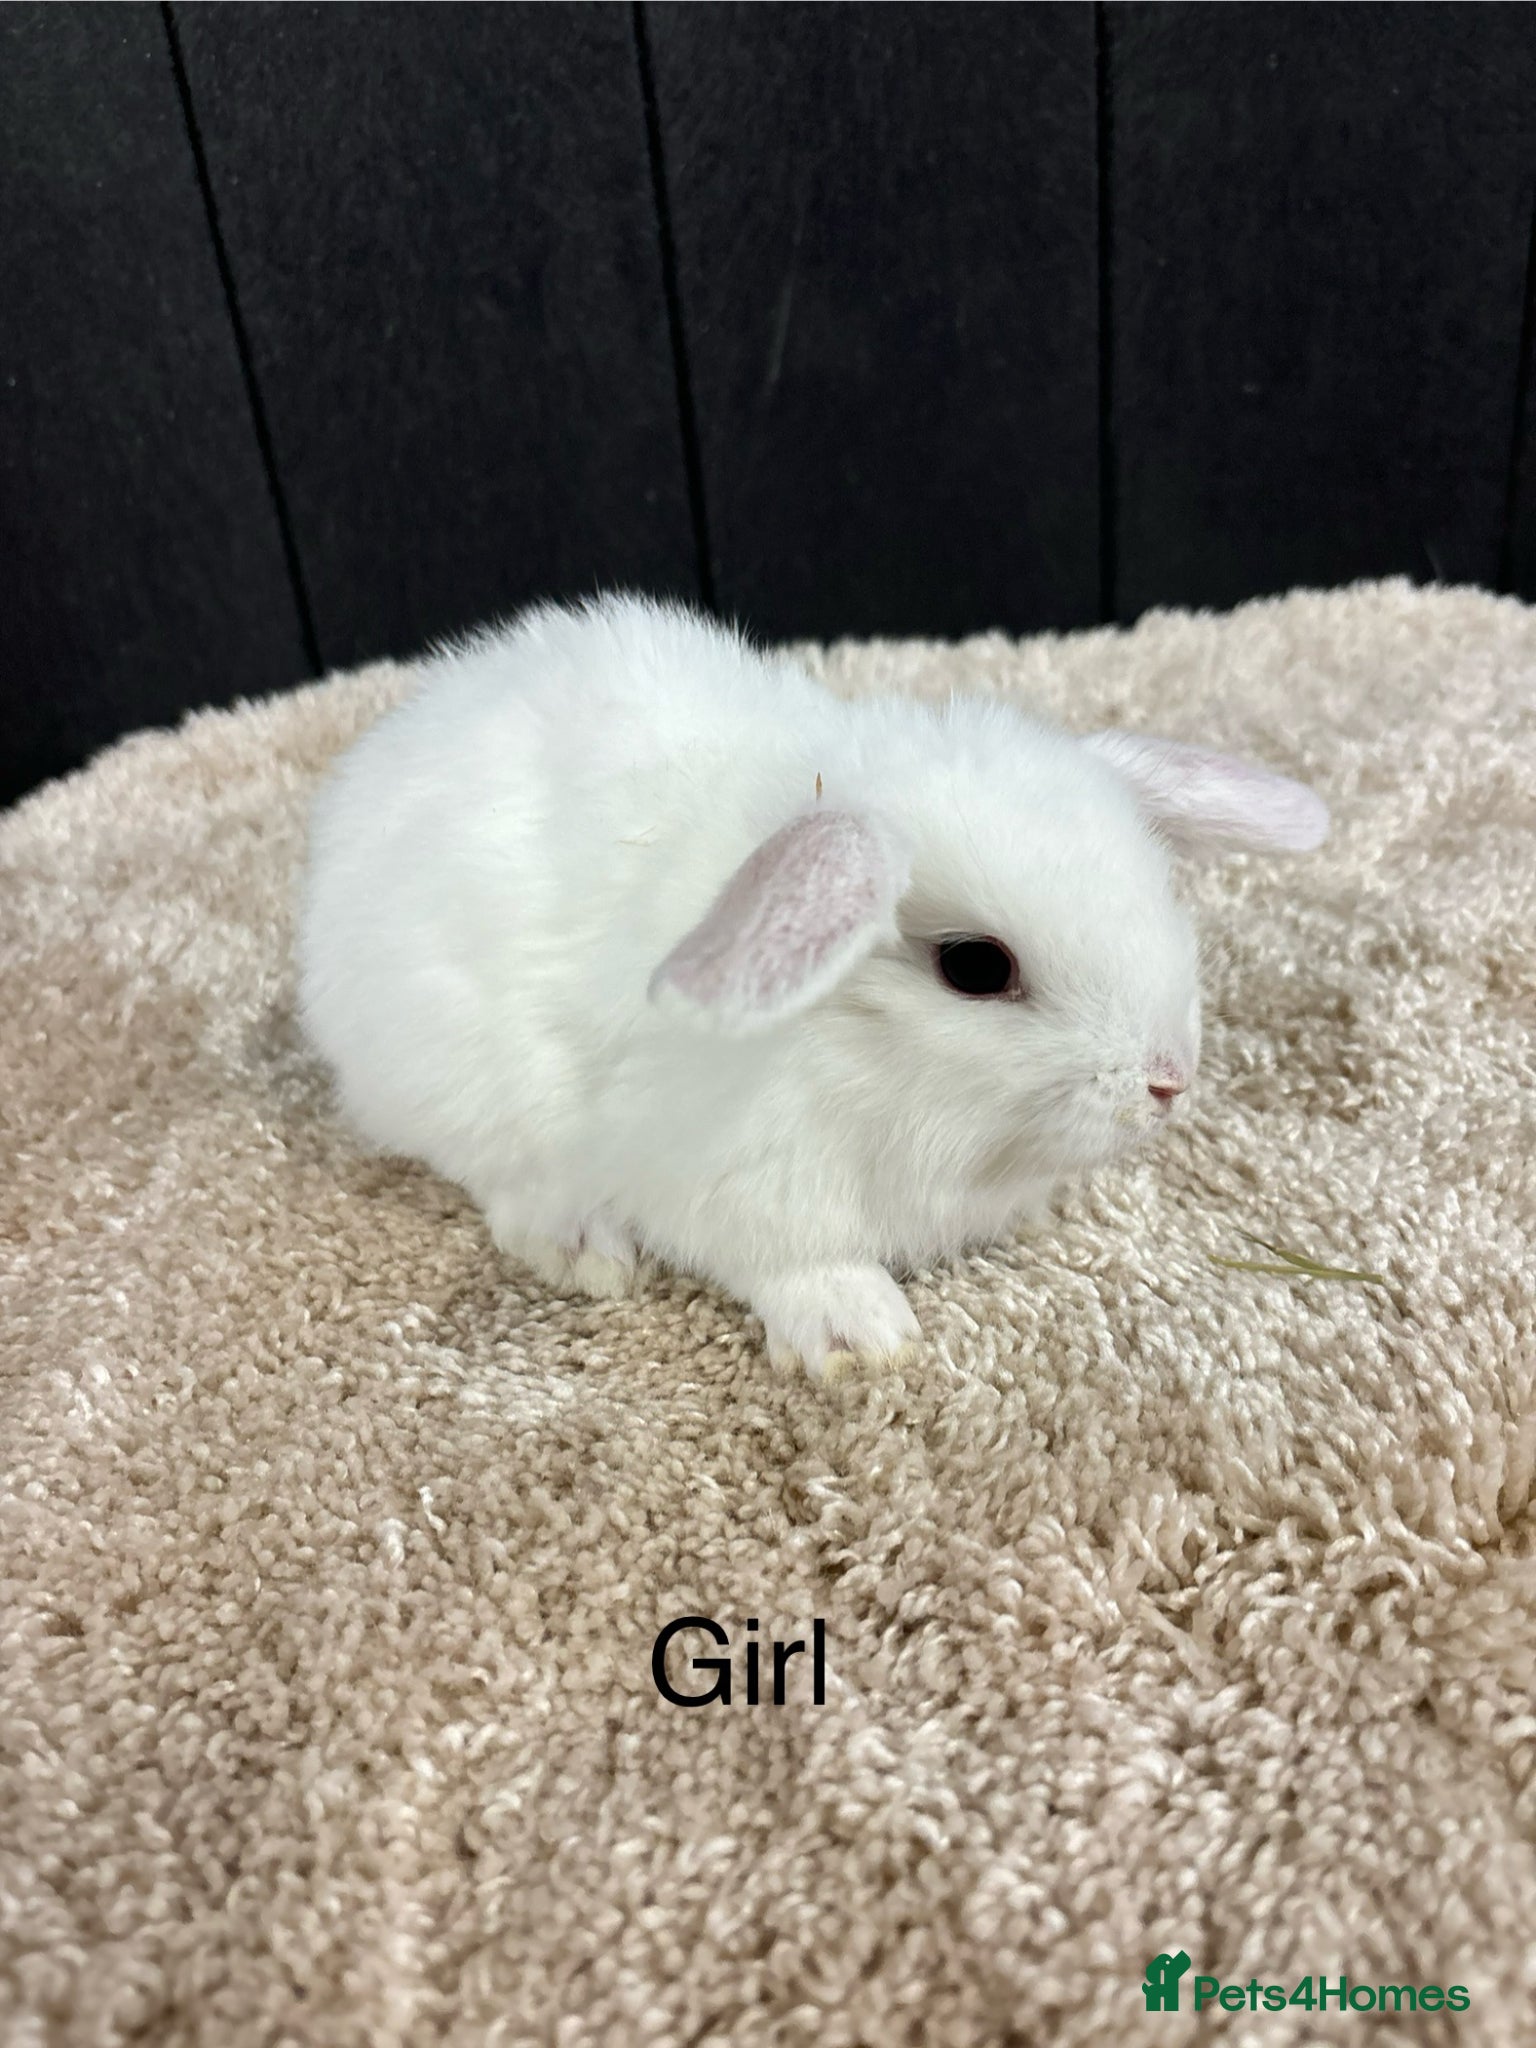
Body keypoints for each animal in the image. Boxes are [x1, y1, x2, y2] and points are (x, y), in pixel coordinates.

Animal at [297, 593, 1327, 1380]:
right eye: (976, 967)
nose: (1170, 1080)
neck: (858, 1053)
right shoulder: (741, 1184)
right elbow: (797, 1264)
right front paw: (859, 1338)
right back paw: (582, 1248)